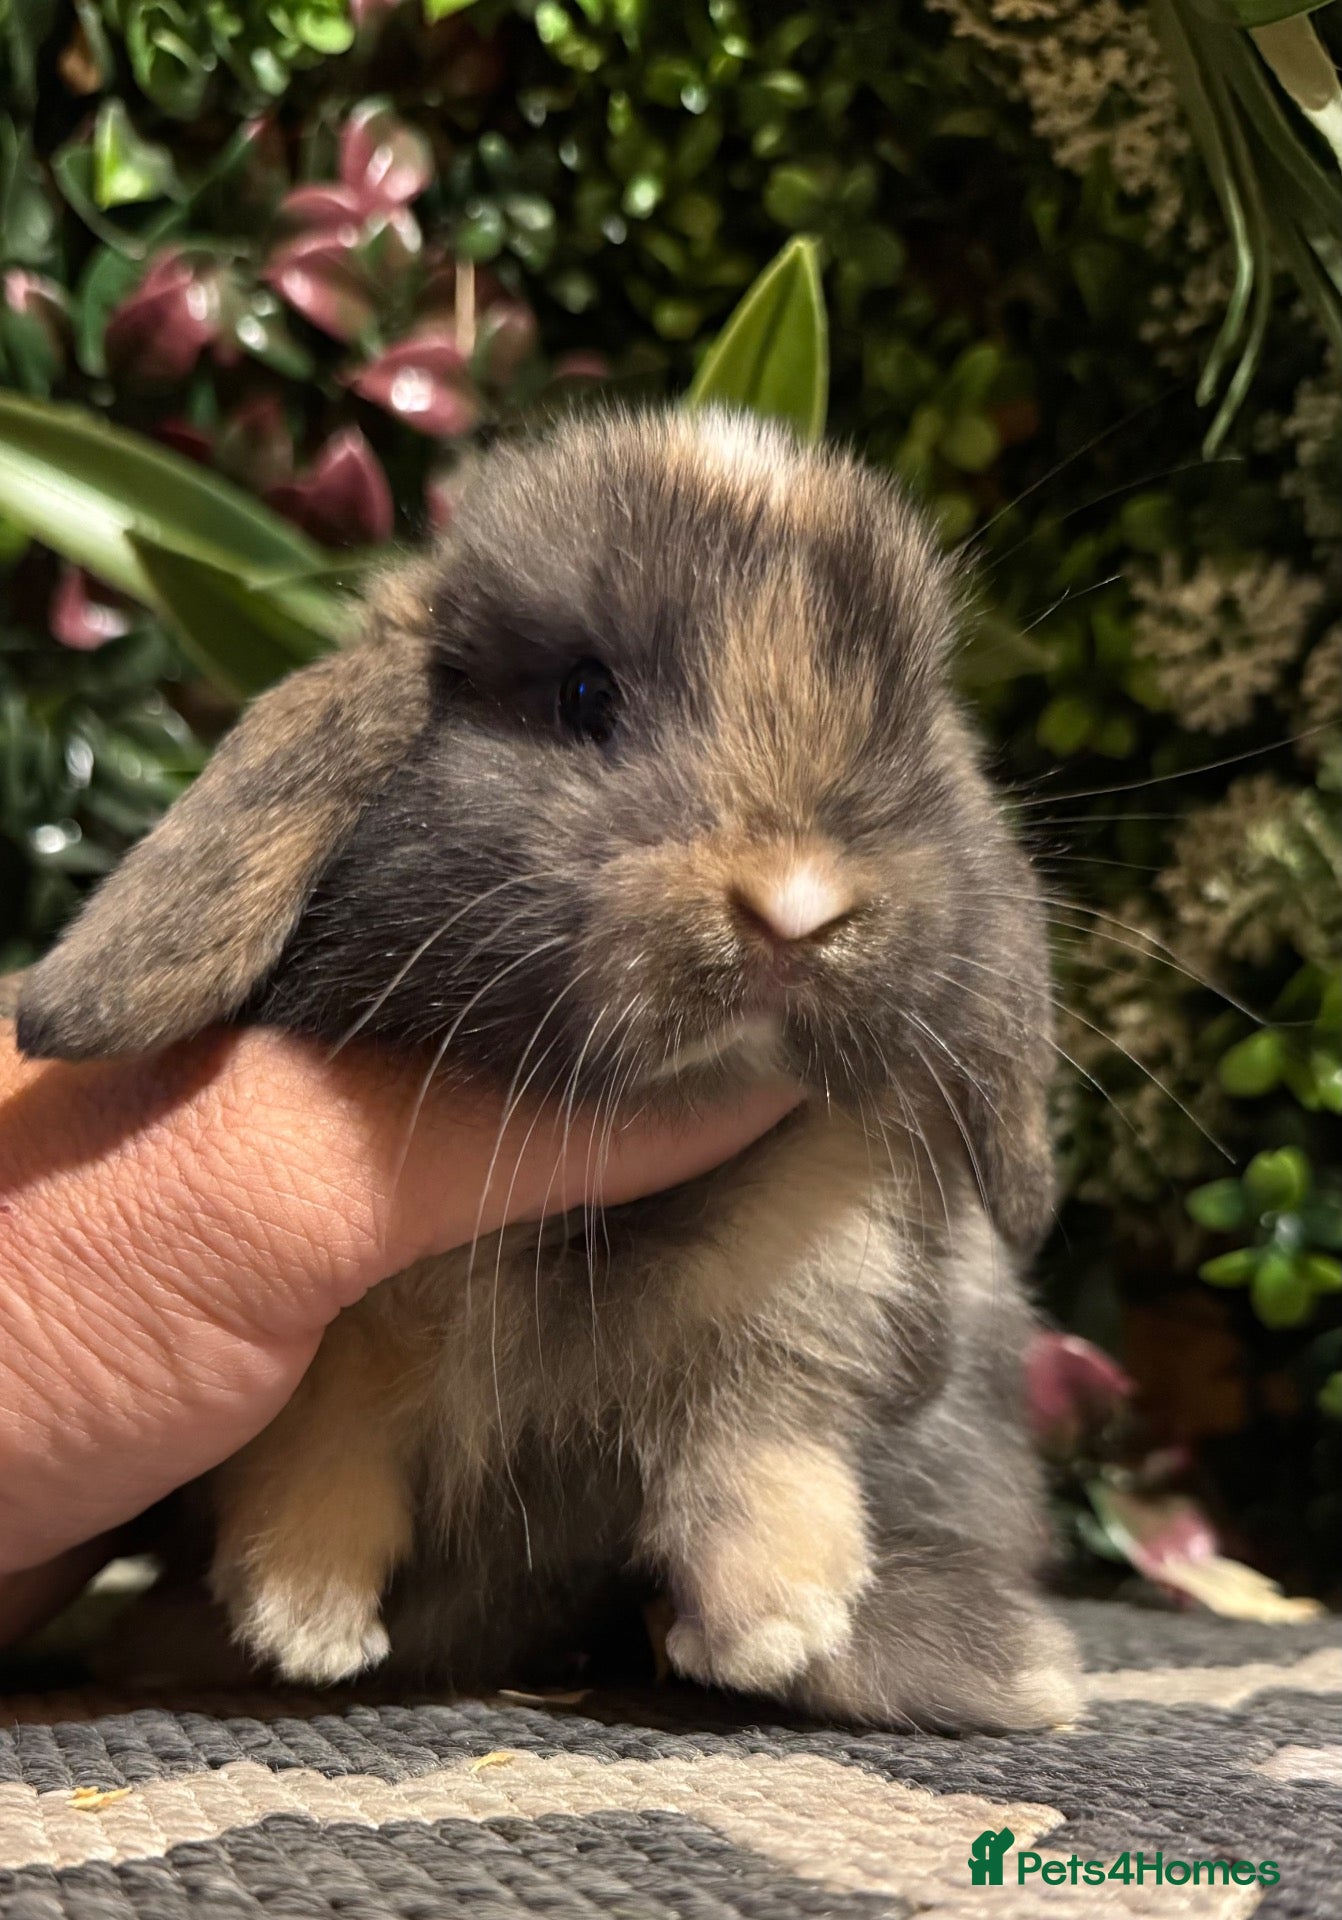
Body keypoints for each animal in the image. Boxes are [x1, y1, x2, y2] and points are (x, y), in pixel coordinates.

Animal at [15, 405, 1079, 1732]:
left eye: (900, 719)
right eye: (584, 693)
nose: (795, 909)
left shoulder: (817, 1272)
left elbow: (766, 1440)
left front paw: (778, 1623)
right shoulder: (341, 1334)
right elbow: (319, 1443)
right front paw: (305, 1620)